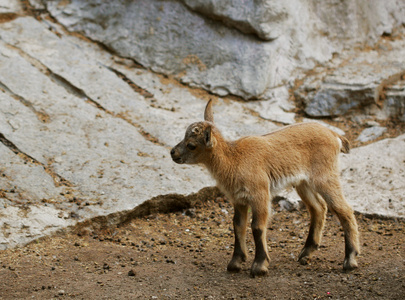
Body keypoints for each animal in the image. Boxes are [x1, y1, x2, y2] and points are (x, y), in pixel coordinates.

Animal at [169, 99, 358, 278]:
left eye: (191, 144)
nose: (172, 153)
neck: (234, 160)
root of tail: (335, 136)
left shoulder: (260, 194)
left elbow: (257, 226)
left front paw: (259, 266)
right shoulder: (238, 199)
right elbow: (238, 225)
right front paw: (235, 263)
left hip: (325, 176)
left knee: (344, 210)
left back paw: (350, 260)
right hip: (304, 183)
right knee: (319, 208)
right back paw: (306, 254)